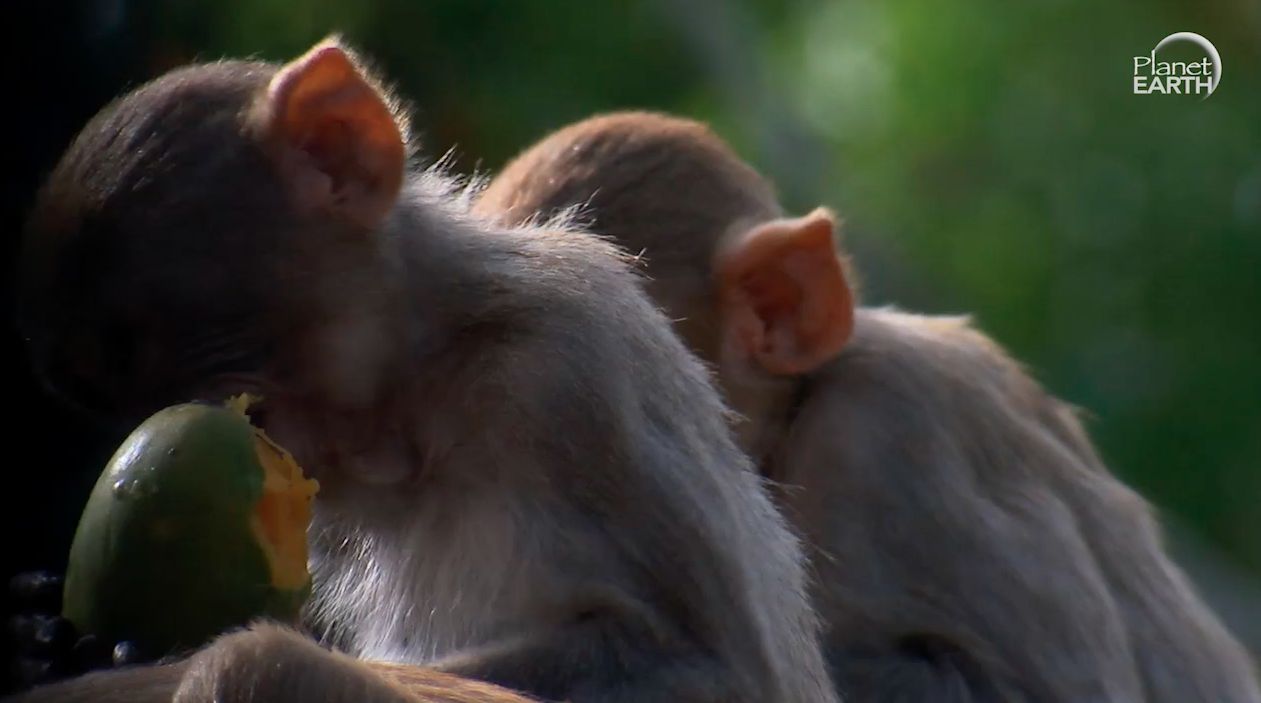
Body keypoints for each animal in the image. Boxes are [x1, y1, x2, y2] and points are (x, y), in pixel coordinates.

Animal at [9, 42, 842, 701]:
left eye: (249, 409)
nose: (337, 460)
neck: (429, 388)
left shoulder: (576, 365)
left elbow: (715, 672)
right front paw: (50, 641)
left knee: (261, 664)